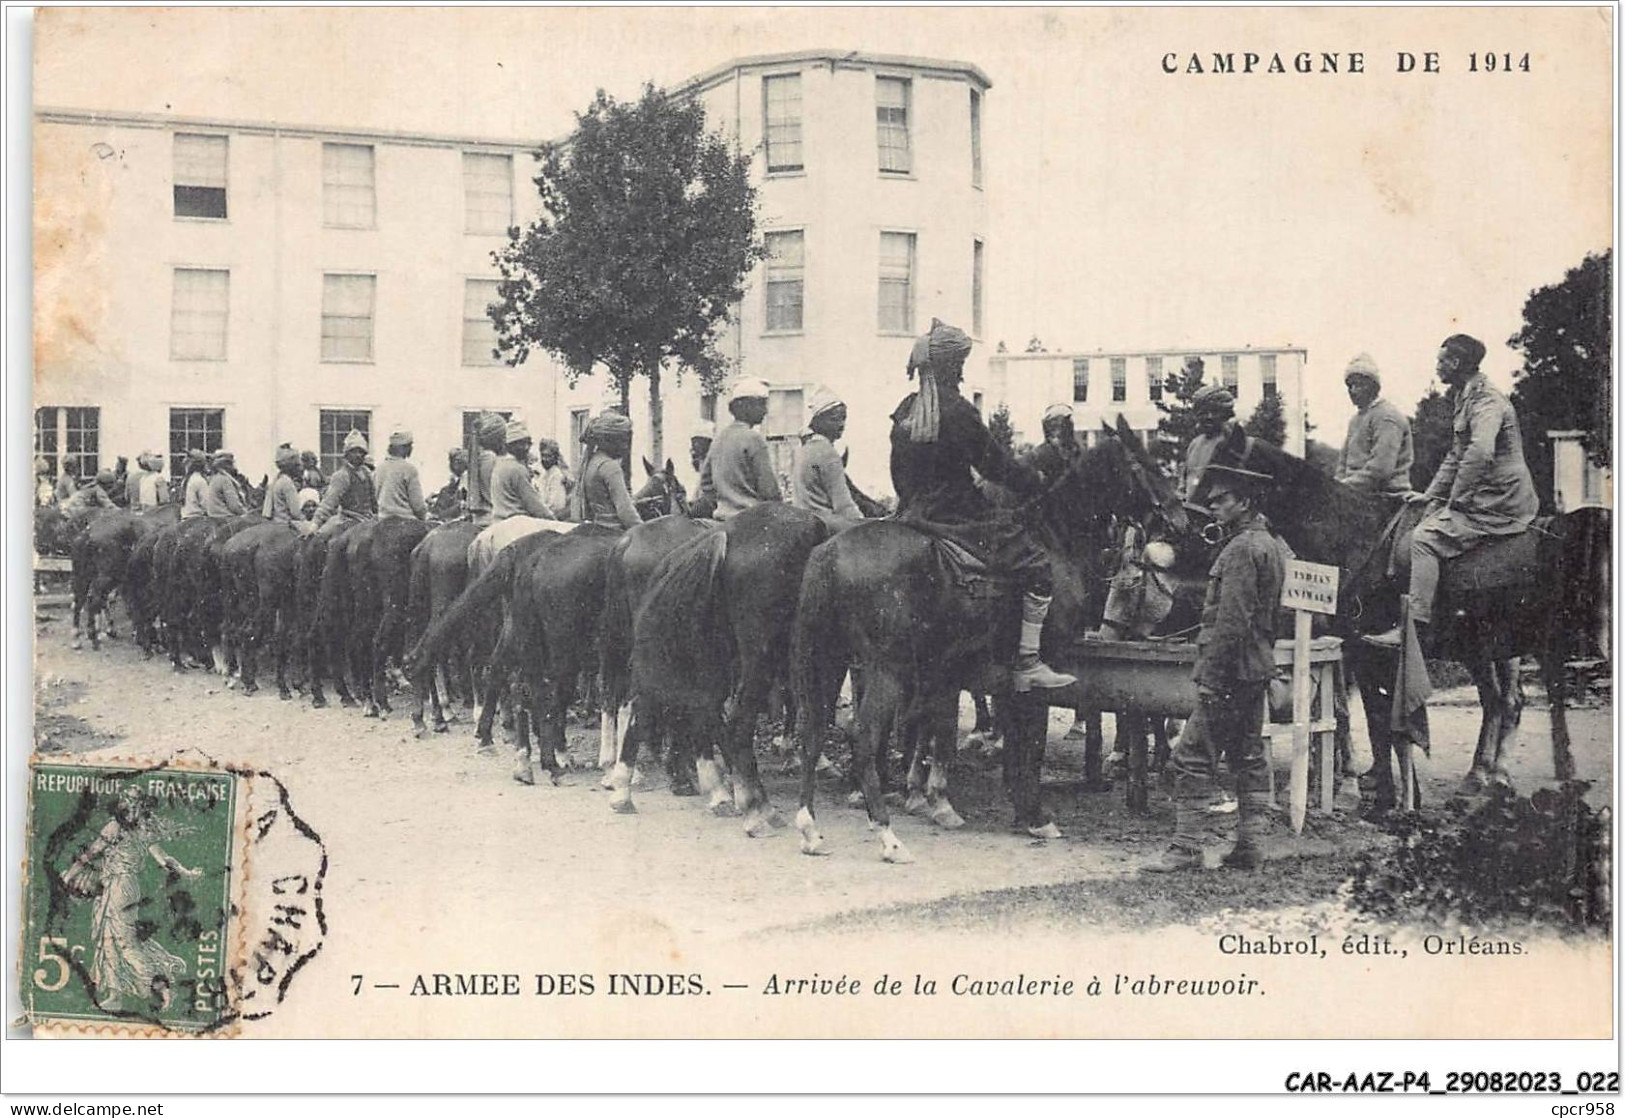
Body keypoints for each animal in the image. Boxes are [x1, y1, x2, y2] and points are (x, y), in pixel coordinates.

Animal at [793, 422, 1189, 858]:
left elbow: (999, 737)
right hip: (885, 670)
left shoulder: (979, 674)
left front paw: (1002, 805)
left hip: (829, 661)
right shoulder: (1039, 665)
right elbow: (1030, 741)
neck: (1053, 535)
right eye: (1146, 464)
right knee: (861, 737)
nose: (1181, 521)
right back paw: (887, 834)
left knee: (812, 733)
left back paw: (810, 828)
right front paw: (1035, 815)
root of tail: (829, 553)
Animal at [1209, 422, 1612, 802]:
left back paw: (1500, 776)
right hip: (1488, 649)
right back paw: (1485, 776)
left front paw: (1372, 790)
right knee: (1500, 701)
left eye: (1221, 467)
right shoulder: (1348, 651)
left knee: (1510, 701)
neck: (1356, 535)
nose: (1206, 518)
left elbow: (1373, 718)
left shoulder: (1364, 652)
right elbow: (1360, 715)